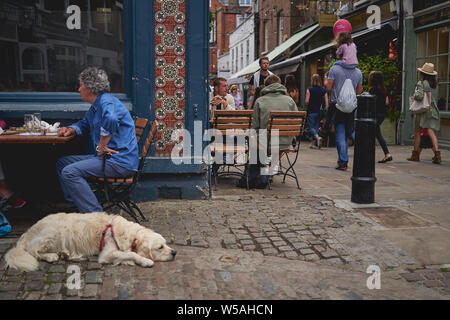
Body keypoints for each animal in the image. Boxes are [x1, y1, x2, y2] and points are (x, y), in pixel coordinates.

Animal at [6, 212, 178, 272]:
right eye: (160, 247)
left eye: (166, 243)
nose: (174, 252)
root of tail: (26, 233)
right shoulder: (107, 253)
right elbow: (131, 254)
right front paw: (145, 261)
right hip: (53, 233)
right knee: (33, 251)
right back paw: (52, 256)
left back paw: (65, 254)